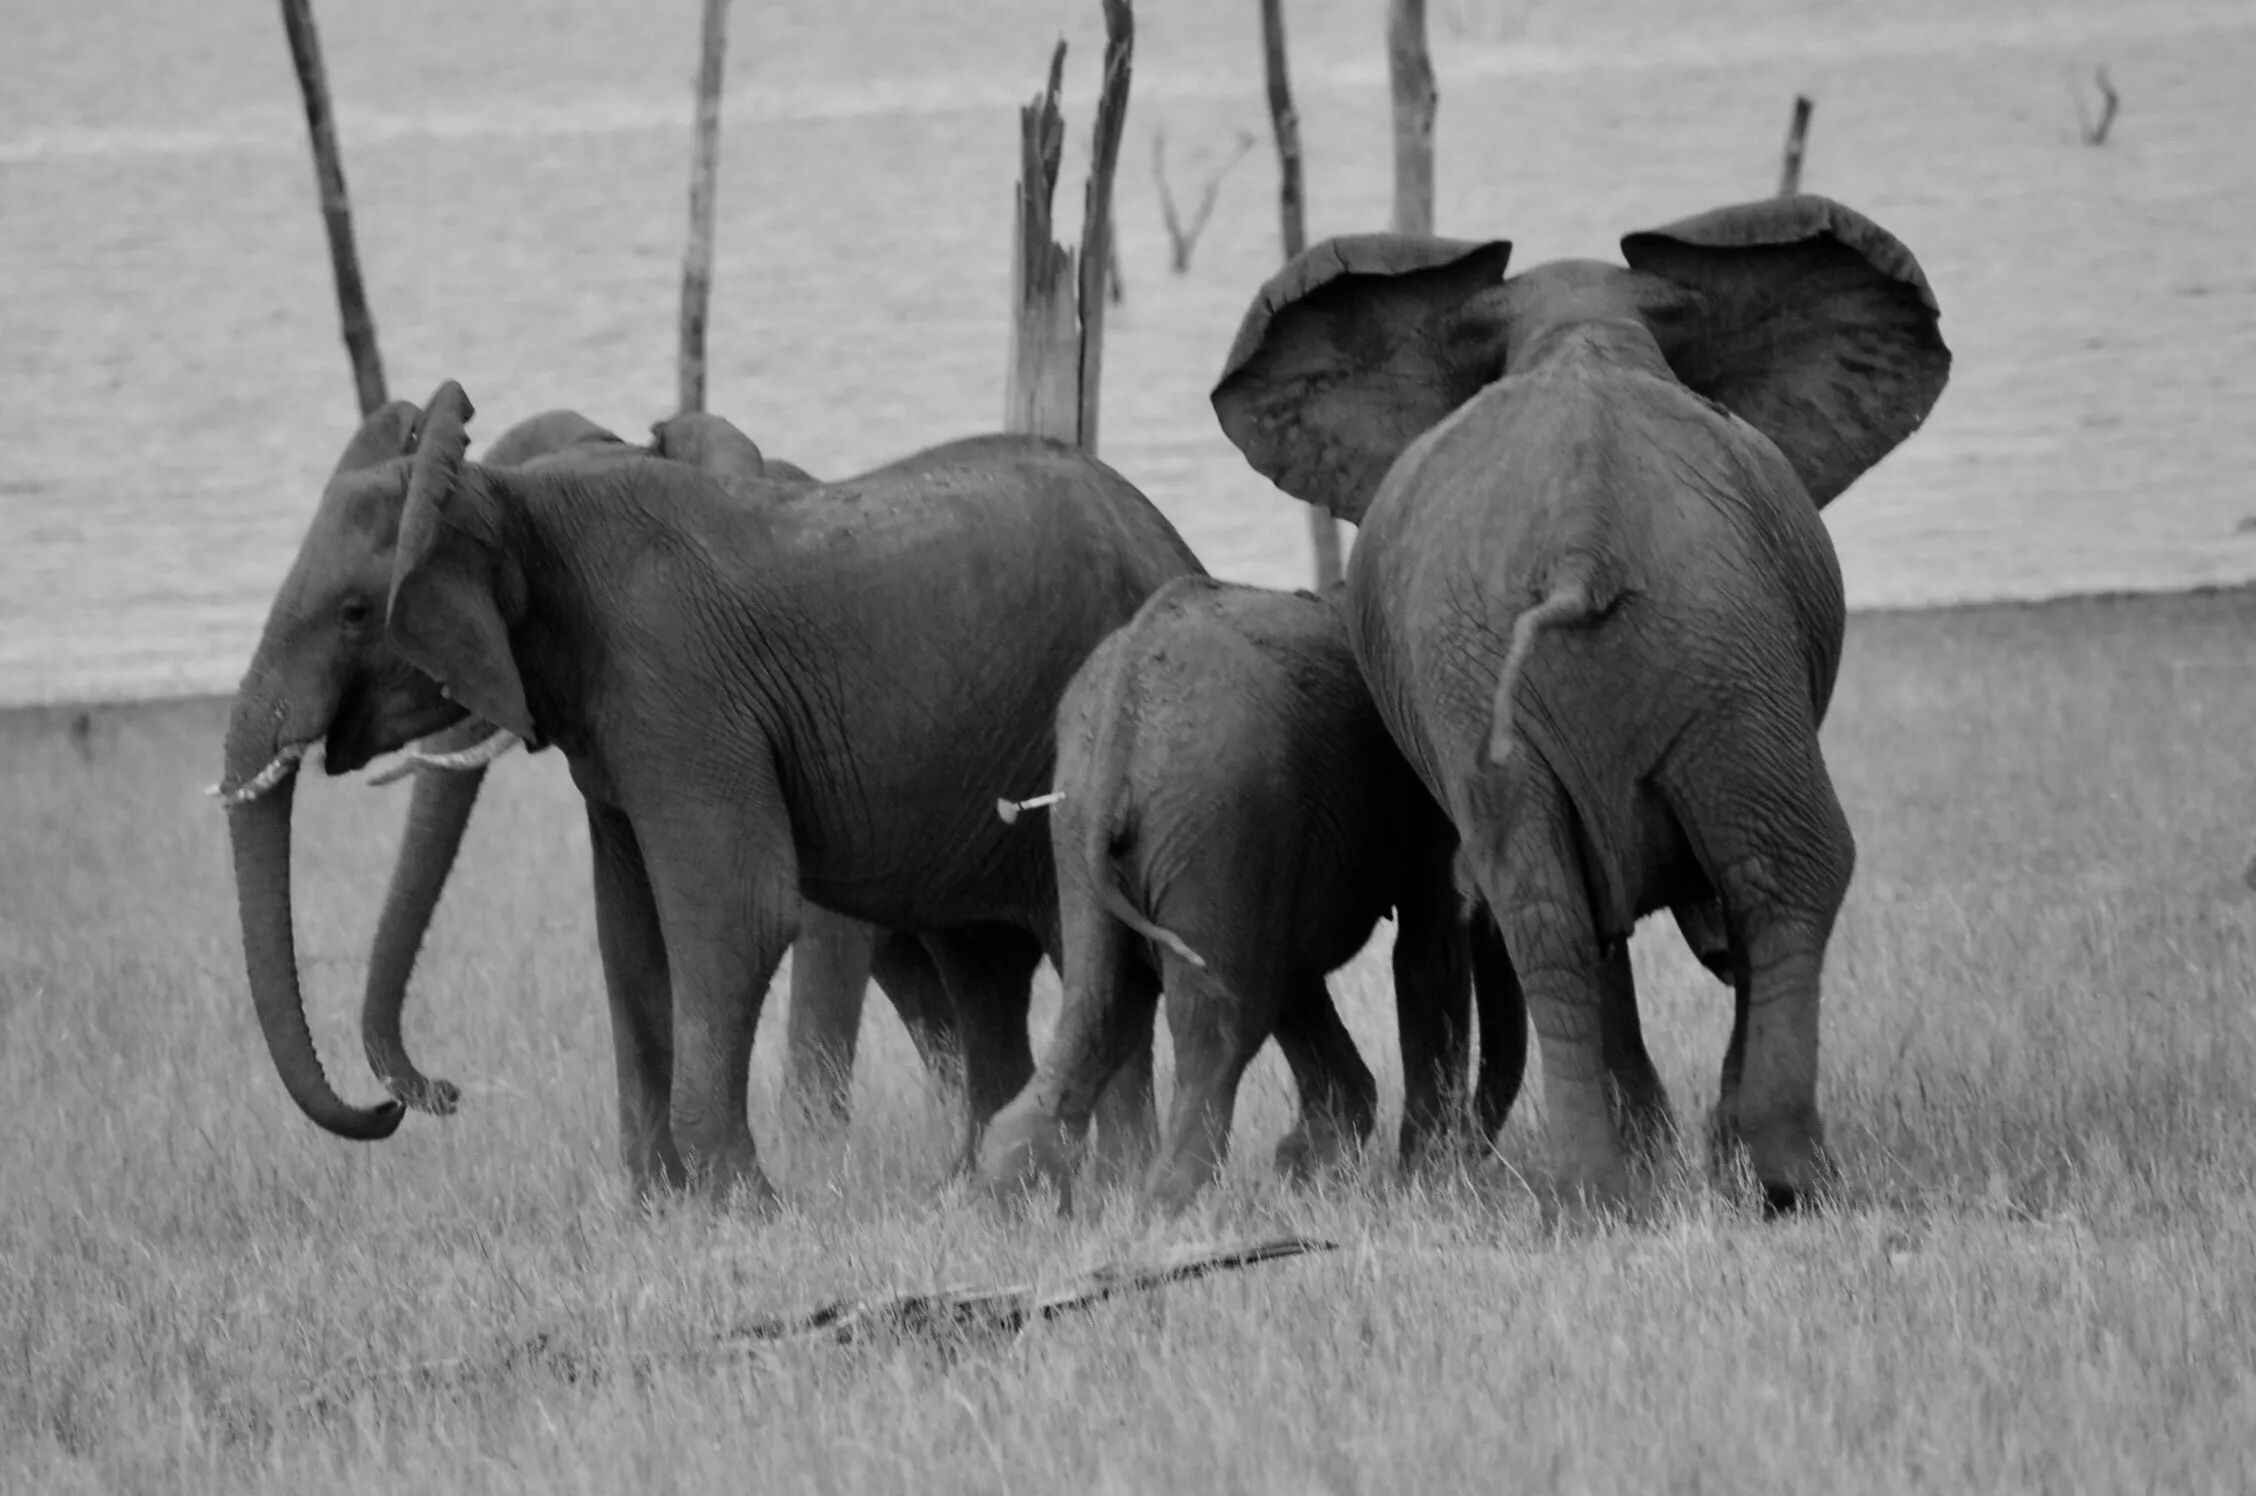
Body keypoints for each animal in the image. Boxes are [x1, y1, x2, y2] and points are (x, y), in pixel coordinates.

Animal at [977, 575, 1494, 1214]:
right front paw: (1425, 1175)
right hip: (1221, 813)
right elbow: (1427, 949)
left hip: (1079, 825)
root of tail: (1127, 699)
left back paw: (1009, 1198)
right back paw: (1168, 1206)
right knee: (1220, 1027)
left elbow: (1296, 977)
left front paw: (1310, 1166)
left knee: (1101, 999)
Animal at [1209, 192, 1951, 1213]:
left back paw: (1612, 1195)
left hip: (1635, 645)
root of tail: (1581, 538)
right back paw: (1774, 1181)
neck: (1578, 330)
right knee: (1778, 870)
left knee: (1564, 906)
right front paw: (1691, 1156)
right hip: (1693, 642)